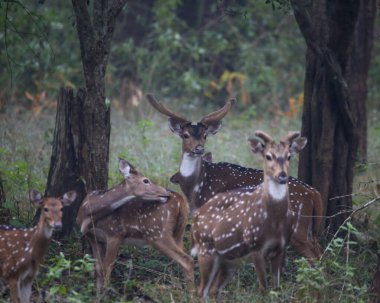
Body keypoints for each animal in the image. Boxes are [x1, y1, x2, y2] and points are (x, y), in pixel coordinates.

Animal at [76, 159, 193, 290]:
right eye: (146, 180)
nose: (166, 192)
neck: (87, 212)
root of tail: (181, 200)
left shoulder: (115, 233)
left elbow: (107, 268)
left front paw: (105, 292)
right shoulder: (94, 238)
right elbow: (98, 268)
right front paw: (97, 292)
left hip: (157, 232)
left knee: (186, 260)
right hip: (178, 232)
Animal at [148, 94, 324, 262]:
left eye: (205, 136)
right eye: (185, 135)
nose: (199, 149)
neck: (196, 188)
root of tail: (314, 193)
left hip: (298, 226)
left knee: (315, 255)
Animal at [193, 132, 308, 298]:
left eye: (289, 156)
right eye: (268, 156)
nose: (282, 175)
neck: (275, 223)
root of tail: (195, 215)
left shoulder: (281, 247)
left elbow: (276, 287)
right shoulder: (255, 245)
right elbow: (264, 289)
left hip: (229, 261)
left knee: (214, 290)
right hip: (205, 248)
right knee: (201, 290)